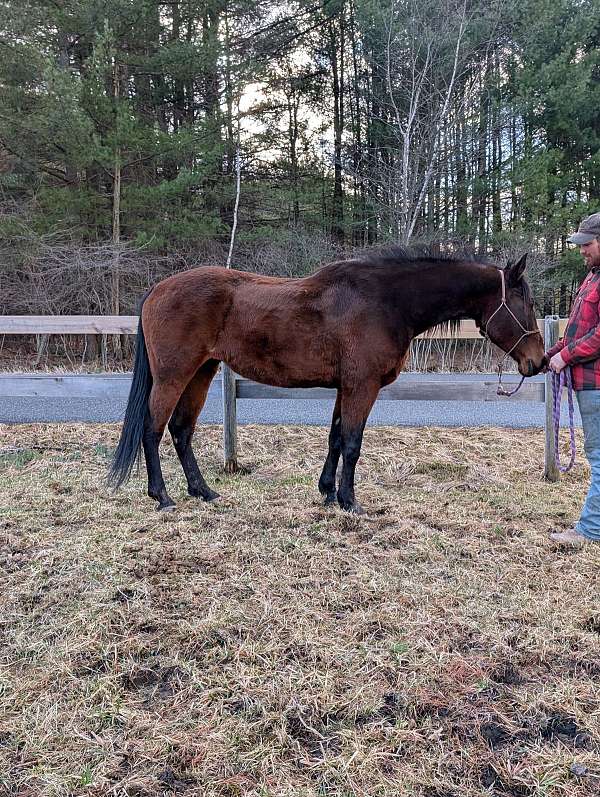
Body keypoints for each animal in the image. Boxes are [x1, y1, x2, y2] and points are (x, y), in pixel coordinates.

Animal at [106, 246, 544, 512]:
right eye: (525, 302)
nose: (537, 361)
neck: (387, 303)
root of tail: (157, 290)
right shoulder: (362, 386)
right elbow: (352, 443)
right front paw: (350, 501)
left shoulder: (344, 387)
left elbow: (335, 439)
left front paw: (328, 492)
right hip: (173, 375)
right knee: (152, 430)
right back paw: (162, 496)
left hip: (202, 372)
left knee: (181, 431)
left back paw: (204, 492)